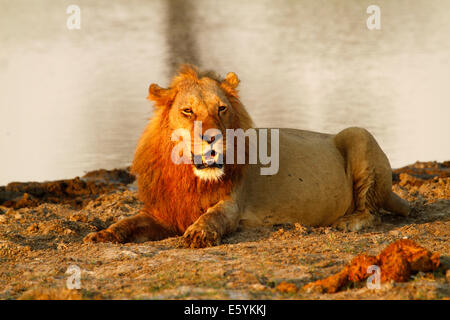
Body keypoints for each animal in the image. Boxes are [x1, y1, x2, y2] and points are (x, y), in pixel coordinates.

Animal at [82, 64, 410, 248]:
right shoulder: (161, 212)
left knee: (372, 212)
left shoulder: (232, 204)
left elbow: (212, 216)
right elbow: (127, 222)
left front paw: (199, 233)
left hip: (359, 135)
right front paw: (101, 234)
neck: (188, 176)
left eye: (221, 109)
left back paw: (347, 222)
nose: (213, 138)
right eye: (188, 111)